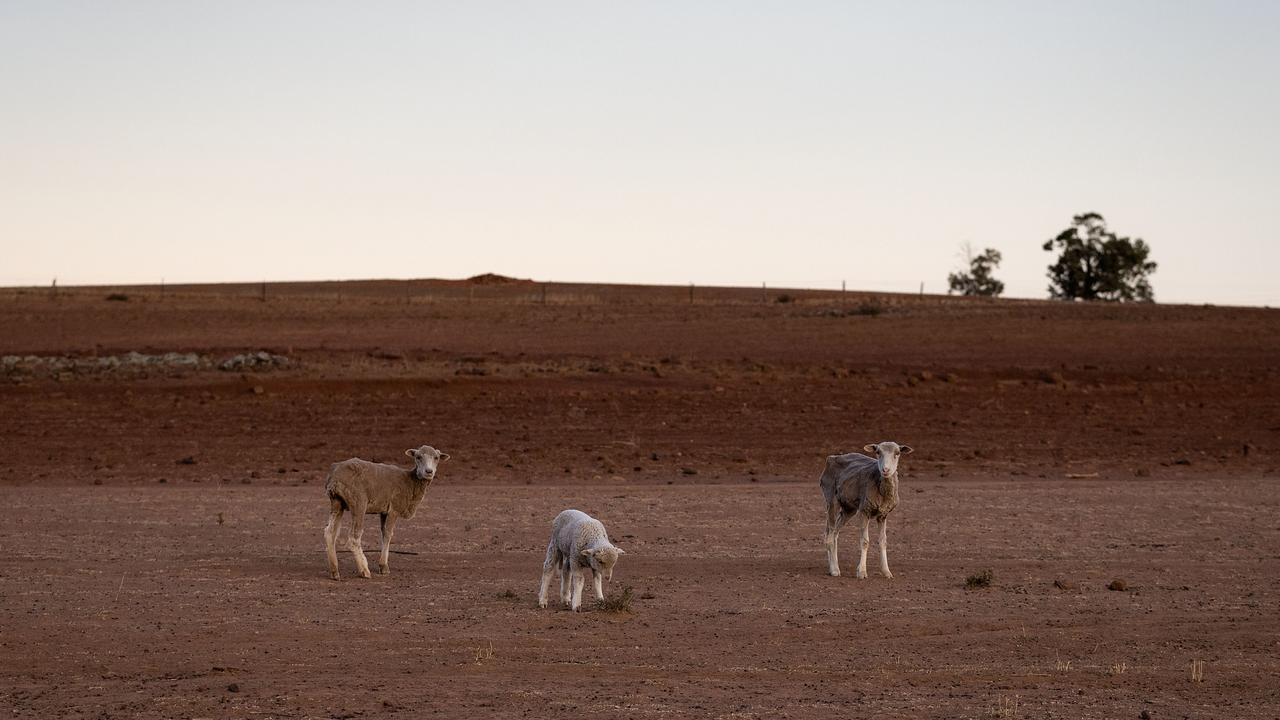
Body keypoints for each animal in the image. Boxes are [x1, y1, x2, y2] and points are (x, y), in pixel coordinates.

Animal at [322, 443, 448, 576]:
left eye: (436, 458)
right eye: (418, 457)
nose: (429, 471)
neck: (410, 483)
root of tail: (335, 476)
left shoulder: (383, 511)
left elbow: (383, 533)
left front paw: (382, 565)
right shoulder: (394, 509)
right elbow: (388, 534)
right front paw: (384, 566)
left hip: (336, 502)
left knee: (329, 532)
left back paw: (334, 571)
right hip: (358, 502)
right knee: (354, 538)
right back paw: (364, 570)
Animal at [819, 438, 911, 576]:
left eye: (897, 453)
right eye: (878, 452)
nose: (885, 470)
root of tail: (832, 458)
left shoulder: (883, 514)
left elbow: (883, 541)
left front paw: (886, 572)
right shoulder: (864, 510)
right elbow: (865, 541)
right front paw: (861, 572)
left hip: (849, 507)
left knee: (834, 533)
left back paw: (832, 567)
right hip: (831, 498)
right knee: (830, 534)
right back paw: (835, 570)